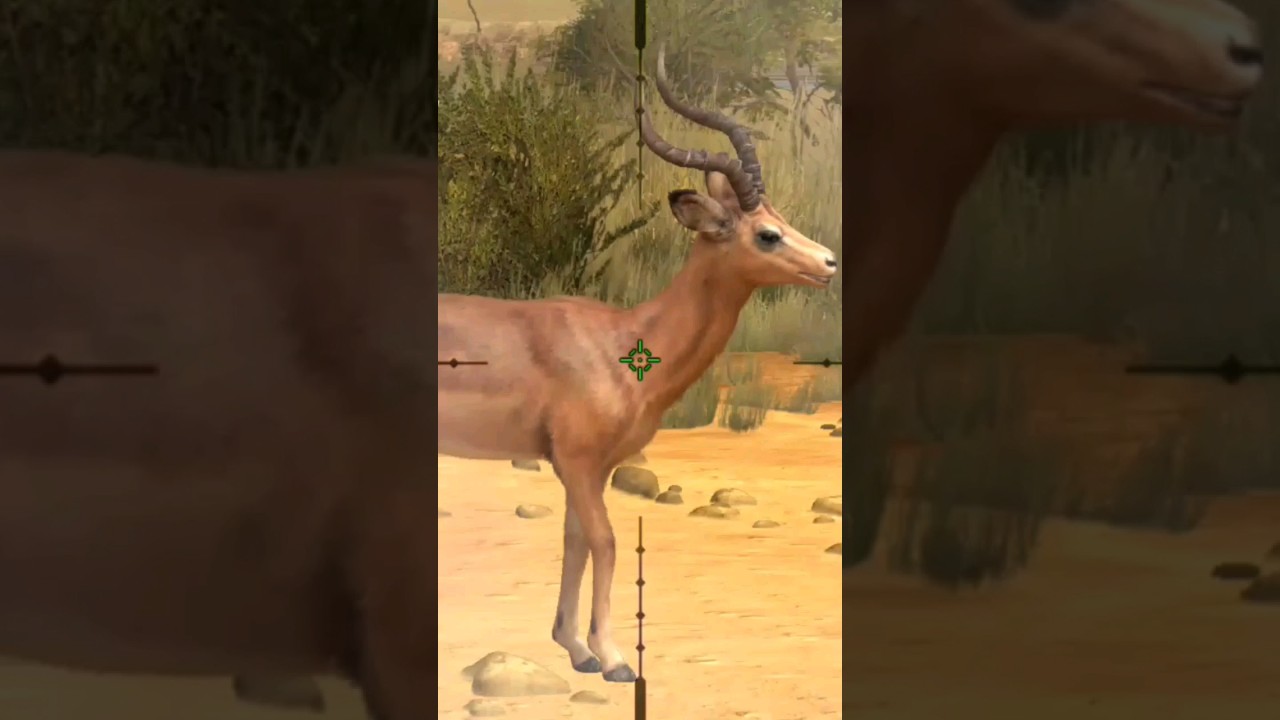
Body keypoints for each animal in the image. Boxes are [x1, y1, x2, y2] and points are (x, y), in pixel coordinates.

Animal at [438, 44, 838, 682]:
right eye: (767, 234)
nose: (828, 262)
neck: (626, 343)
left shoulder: (591, 468)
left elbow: (576, 540)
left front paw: (577, 650)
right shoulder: (576, 462)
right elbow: (605, 542)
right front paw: (615, 658)